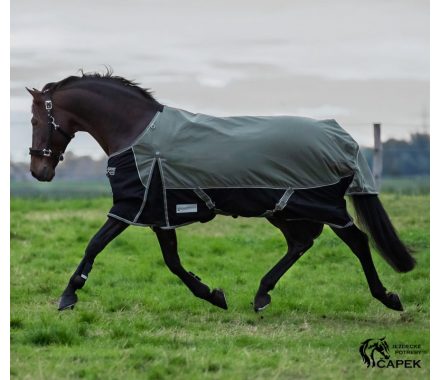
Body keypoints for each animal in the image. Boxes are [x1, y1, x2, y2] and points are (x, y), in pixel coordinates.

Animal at [27, 70, 416, 312]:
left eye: (34, 120)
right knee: (301, 243)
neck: (136, 133)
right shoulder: (159, 213)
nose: (38, 171)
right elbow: (172, 261)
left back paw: (388, 297)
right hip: (283, 209)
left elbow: (95, 244)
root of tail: (341, 137)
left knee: (357, 241)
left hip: (321, 205)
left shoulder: (131, 206)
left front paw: (67, 296)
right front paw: (213, 294)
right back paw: (261, 295)